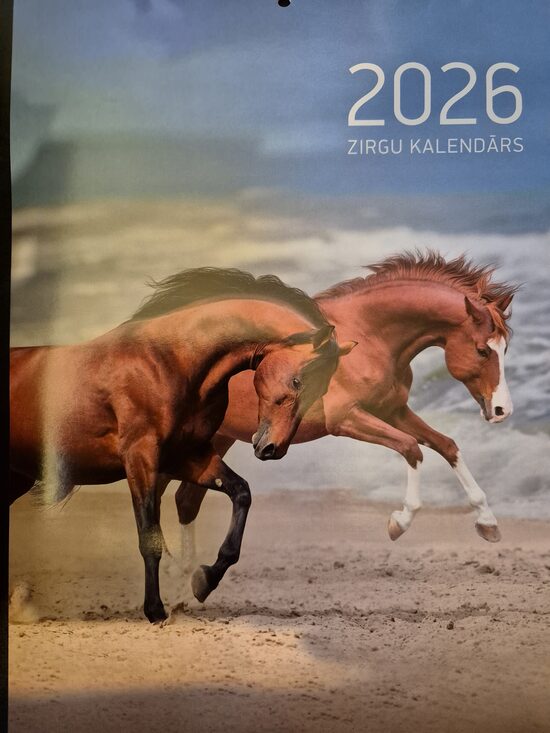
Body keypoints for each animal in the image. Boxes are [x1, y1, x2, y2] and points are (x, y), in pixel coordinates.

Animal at [9, 267, 356, 622]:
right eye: (298, 380)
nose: (272, 448)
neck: (170, 361)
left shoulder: (189, 457)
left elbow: (240, 493)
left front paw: (204, 580)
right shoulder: (141, 458)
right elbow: (150, 537)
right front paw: (155, 611)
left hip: (17, 477)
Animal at [173, 251, 517, 580]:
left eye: (505, 349)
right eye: (482, 350)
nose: (502, 410)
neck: (369, 336)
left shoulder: (392, 411)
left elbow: (446, 445)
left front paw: (488, 523)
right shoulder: (346, 419)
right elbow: (411, 448)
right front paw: (399, 522)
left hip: (221, 438)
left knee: (186, 500)